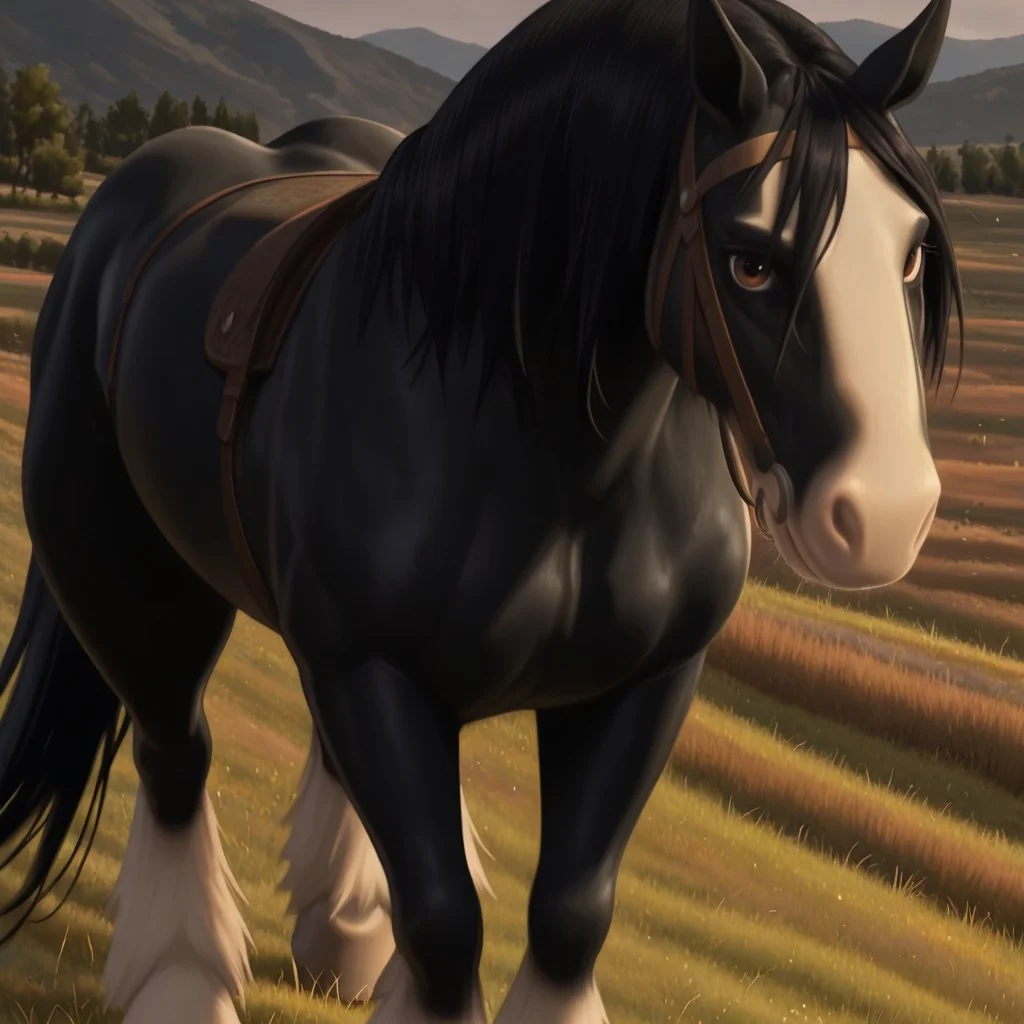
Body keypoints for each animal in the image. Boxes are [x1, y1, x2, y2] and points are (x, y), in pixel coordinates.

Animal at [0, 0, 962, 1020]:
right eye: (748, 262)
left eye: (909, 251)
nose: (885, 514)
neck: (553, 459)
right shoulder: (373, 671)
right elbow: (443, 919)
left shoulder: (647, 679)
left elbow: (571, 909)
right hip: (129, 583)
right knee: (174, 749)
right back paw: (181, 978)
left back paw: (343, 933)